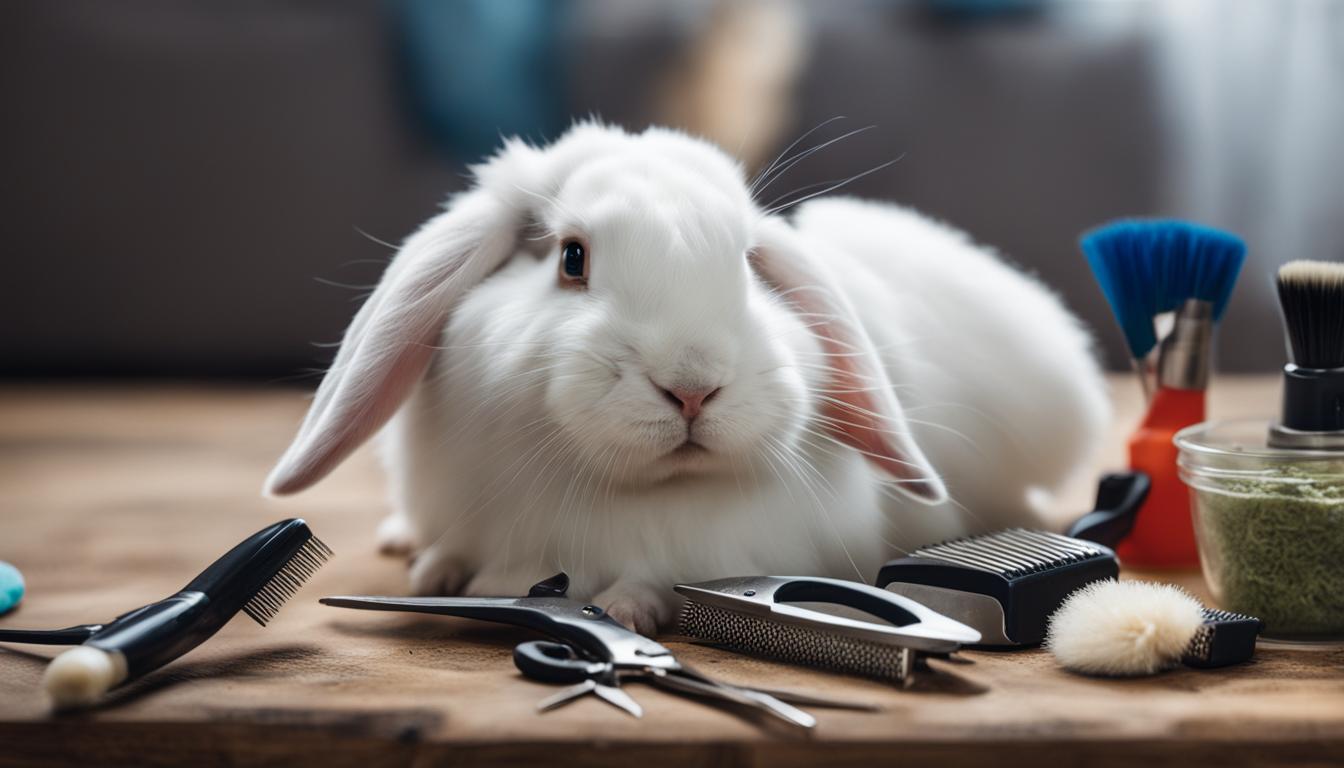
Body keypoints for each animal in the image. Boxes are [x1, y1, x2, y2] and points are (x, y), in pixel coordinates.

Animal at [265, 122, 1109, 636]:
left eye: (746, 262)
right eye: (572, 258)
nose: (694, 385)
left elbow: (659, 580)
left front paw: (624, 610)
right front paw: (440, 572)